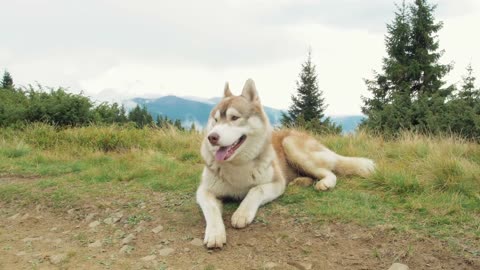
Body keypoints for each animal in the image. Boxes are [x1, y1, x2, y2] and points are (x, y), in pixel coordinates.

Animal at [196, 79, 376, 248]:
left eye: (234, 118)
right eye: (215, 120)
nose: (212, 137)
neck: (237, 165)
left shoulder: (276, 183)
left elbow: (255, 190)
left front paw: (242, 212)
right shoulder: (204, 191)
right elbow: (211, 208)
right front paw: (215, 233)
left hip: (291, 145)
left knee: (329, 172)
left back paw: (324, 183)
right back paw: (301, 181)